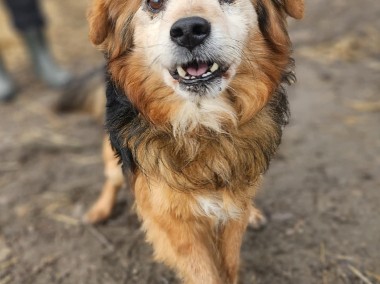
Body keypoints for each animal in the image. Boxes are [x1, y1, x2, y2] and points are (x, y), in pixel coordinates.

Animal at [82, 1, 302, 282]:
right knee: (112, 178)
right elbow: (204, 272)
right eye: (154, 4)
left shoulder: (233, 208)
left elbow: (230, 263)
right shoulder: (172, 220)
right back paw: (99, 210)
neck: (202, 124)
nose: (188, 31)